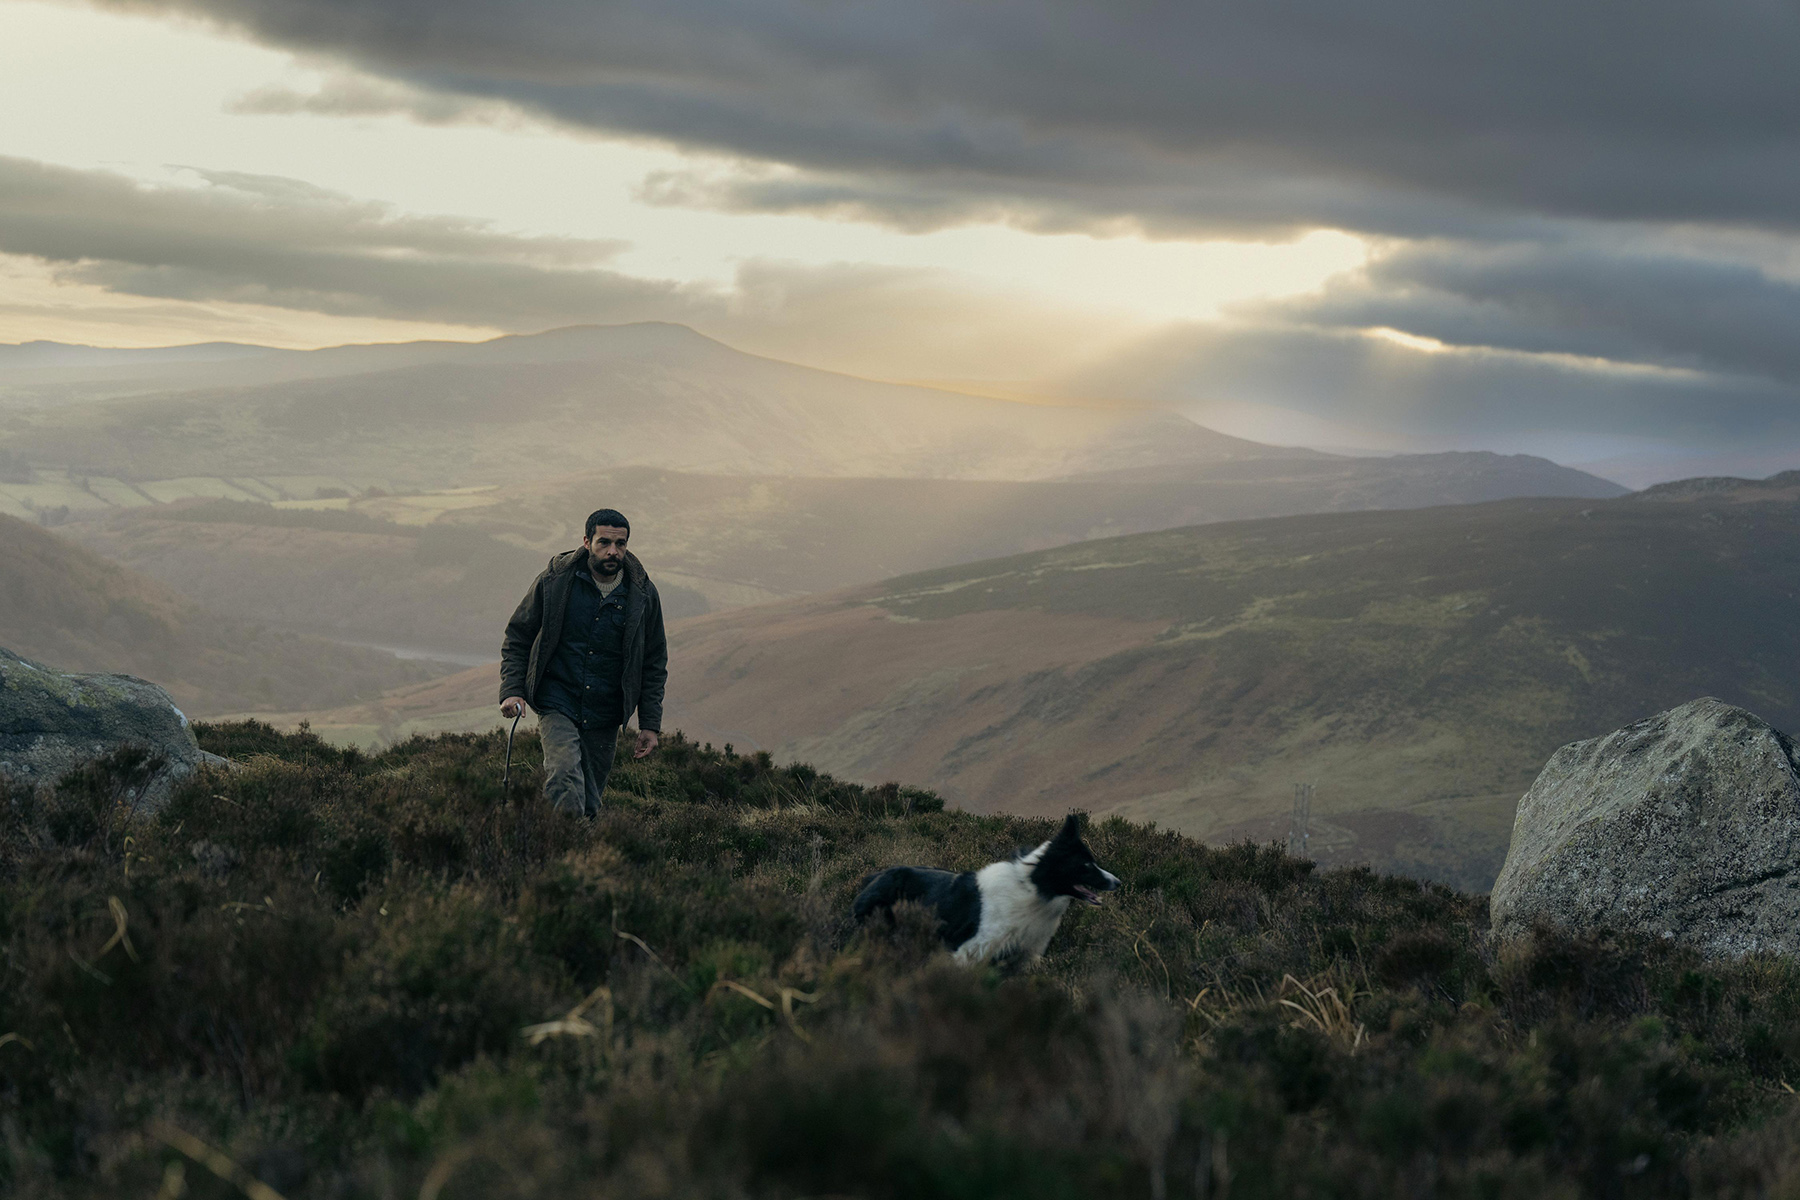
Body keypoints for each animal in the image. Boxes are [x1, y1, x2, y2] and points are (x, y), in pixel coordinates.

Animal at [849, 813, 1116, 971]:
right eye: (1086, 865)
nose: (1117, 882)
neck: (1031, 887)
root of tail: (873, 877)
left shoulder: (1019, 958)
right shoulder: (971, 950)